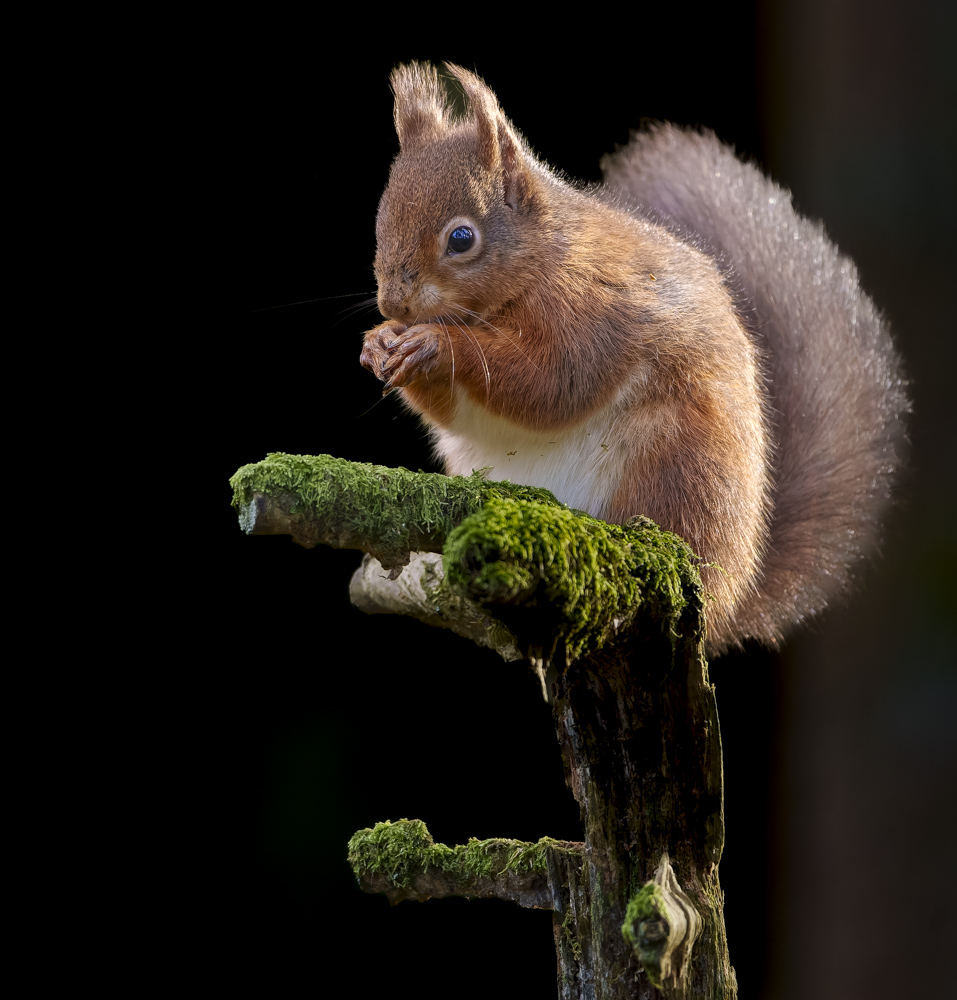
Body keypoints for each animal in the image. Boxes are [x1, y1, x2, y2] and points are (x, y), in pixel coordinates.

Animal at [356, 64, 904, 656]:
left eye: (461, 238)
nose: (394, 304)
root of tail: (727, 601)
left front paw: (434, 345)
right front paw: (379, 342)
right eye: (381, 223)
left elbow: (549, 383)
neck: (541, 259)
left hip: (671, 464)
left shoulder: (590, 311)